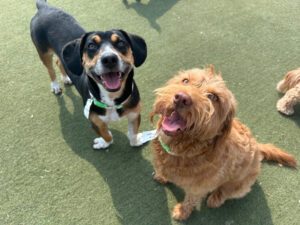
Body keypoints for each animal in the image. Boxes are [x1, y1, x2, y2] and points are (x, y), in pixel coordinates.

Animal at [29, 0, 147, 149]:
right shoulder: (95, 121)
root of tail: (43, 6)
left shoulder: (135, 114)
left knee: (59, 61)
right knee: (50, 69)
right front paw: (102, 143)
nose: (109, 58)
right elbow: (108, 136)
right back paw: (55, 86)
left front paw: (137, 141)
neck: (112, 101)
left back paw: (66, 78)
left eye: (120, 43)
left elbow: (132, 134)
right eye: (91, 45)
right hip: (43, 52)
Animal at [151, 66, 296, 221]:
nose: (181, 98)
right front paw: (162, 176)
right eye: (185, 80)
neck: (184, 150)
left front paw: (182, 212)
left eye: (213, 96)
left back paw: (215, 199)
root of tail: (258, 147)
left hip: (241, 185)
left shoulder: (198, 188)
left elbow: (190, 200)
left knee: (227, 192)